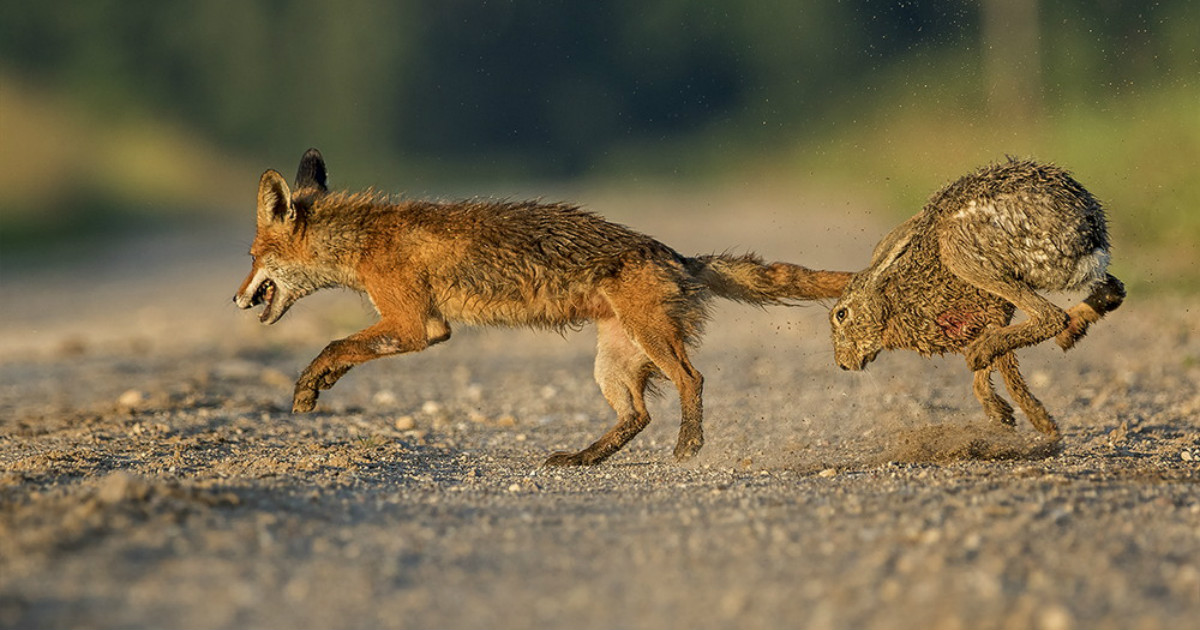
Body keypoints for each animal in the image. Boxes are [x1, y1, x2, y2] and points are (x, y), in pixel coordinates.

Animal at [234, 146, 854, 460]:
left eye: (251, 254)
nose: (236, 298)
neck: (365, 241)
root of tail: (677, 256)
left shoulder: (418, 325)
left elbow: (338, 343)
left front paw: (311, 386)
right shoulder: (408, 326)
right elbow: (348, 347)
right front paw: (319, 385)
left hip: (652, 342)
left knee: (692, 380)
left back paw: (688, 445)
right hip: (613, 365)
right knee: (639, 414)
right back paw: (583, 458)